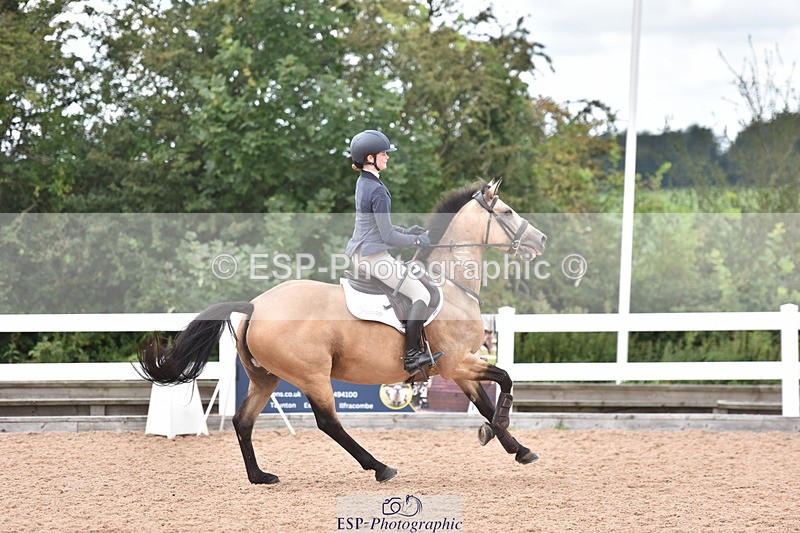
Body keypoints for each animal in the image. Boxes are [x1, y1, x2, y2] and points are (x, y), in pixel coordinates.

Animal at [138, 178, 547, 484]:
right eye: (507, 212)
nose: (540, 240)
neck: (451, 284)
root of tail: (256, 305)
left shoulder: (460, 367)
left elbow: (486, 401)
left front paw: (517, 447)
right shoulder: (458, 363)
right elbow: (506, 380)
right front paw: (499, 430)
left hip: (266, 377)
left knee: (243, 420)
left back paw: (260, 476)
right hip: (312, 375)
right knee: (328, 423)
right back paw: (380, 467)